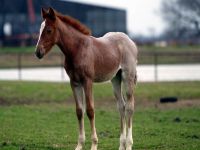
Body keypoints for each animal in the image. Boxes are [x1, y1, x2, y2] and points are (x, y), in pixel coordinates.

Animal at [35, 7, 138, 150]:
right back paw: (122, 145)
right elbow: (79, 111)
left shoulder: (87, 81)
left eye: (49, 30)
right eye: (40, 29)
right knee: (121, 106)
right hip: (115, 79)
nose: (38, 52)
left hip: (128, 77)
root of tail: (130, 41)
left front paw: (94, 144)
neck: (77, 49)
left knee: (129, 106)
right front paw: (79, 145)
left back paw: (128, 144)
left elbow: (90, 110)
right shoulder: (74, 82)